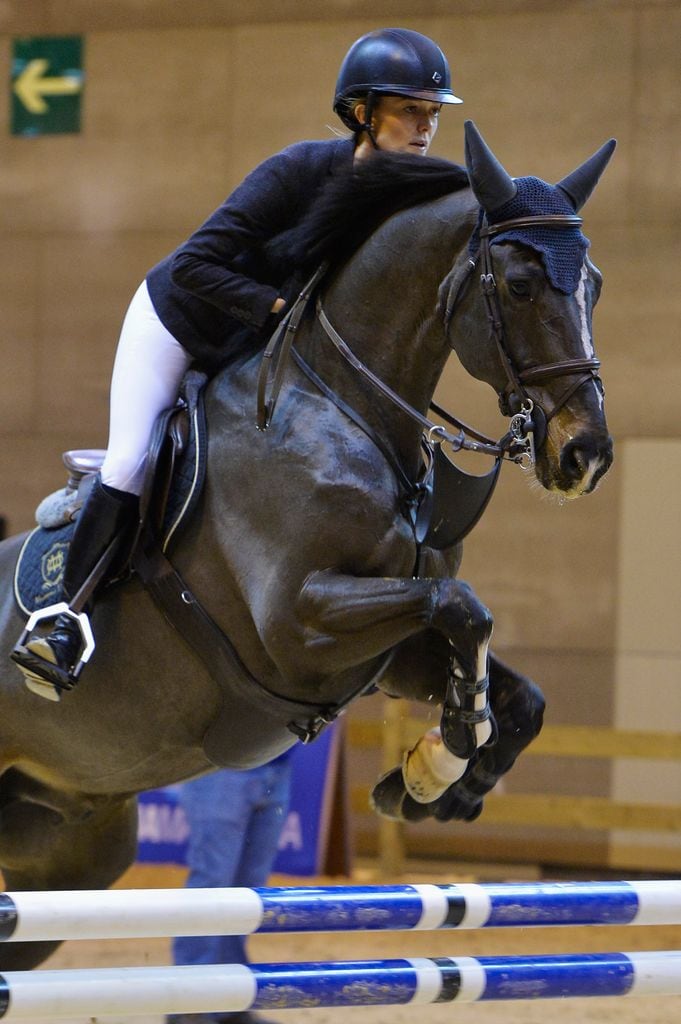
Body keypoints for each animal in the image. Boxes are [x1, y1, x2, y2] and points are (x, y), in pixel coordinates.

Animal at [0, 121, 614, 970]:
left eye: (592, 284)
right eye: (520, 286)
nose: (586, 454)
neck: (345, 408)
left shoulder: (384, 653)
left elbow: (516, 691)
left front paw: (432, 780)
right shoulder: (297, 623)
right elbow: (463, 606)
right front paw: (452, 744)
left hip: (70, 855)